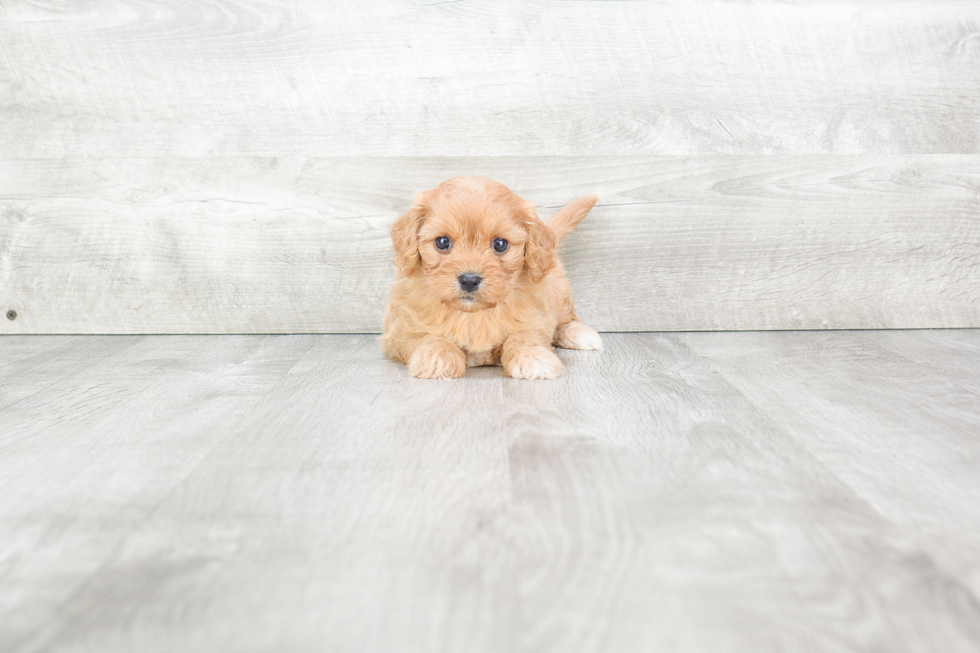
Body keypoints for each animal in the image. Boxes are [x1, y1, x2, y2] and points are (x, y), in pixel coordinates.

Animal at [378, 174, 600, 376]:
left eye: (500, 244)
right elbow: (427, 336)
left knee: (566, 318)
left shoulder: (535, 317)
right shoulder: (398, 330)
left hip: (559, 289)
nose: (469, 280)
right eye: (442, 242)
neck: (473, 314)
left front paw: (533, 357)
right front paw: (438, 356)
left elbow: (523, 336)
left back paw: (579, 333)